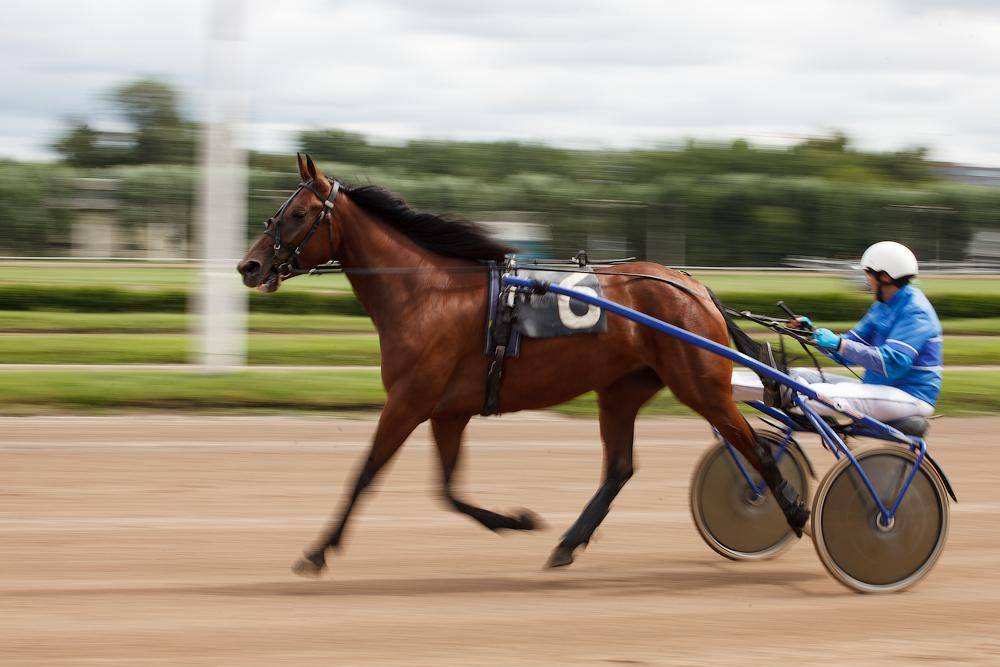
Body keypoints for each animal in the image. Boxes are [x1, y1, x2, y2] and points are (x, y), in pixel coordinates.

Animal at [234, 154, 804, 576]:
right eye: (277, 212)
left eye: (298, 214)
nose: (249, 265)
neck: (425, 293)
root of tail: (695, 286)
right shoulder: (447, 411)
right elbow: (448, 491)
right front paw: (517, 521)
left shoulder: (409, 401)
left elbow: (366, 472)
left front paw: (317, 551)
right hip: (622, 389)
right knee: (620, 467)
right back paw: (568, 544)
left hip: (701, 385)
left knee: (754, 449)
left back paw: (792, 510)